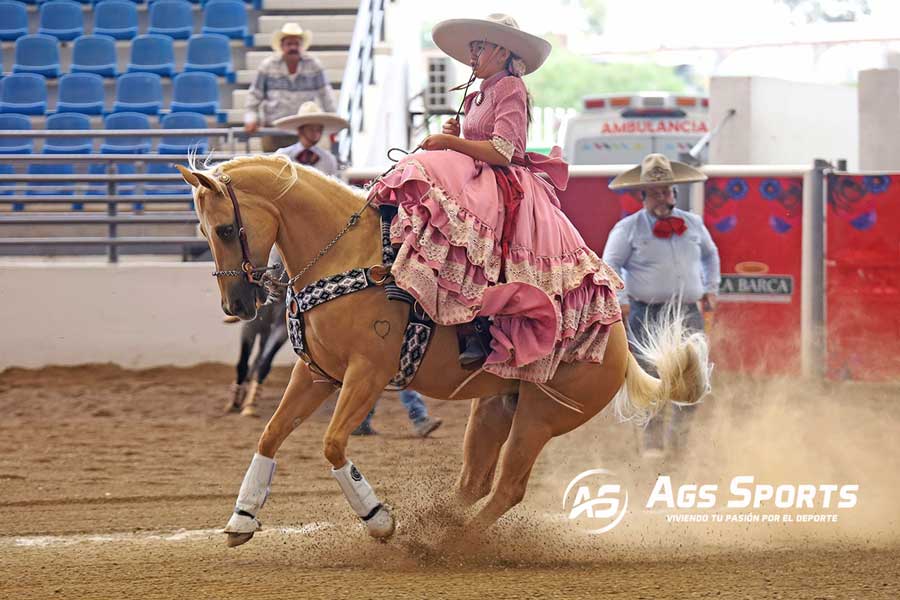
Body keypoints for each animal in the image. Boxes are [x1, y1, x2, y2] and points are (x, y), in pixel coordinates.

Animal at [176, 156, 712, 548]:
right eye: (204, 232)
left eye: (225, 229)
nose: (237, 304)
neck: (347, 258)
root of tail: (616, 341)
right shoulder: (316, 375)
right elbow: (270, 435)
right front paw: (242, 518)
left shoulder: (367, 374)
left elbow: (332, 443)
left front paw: (379, 518)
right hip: (496, 407)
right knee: (474, 484)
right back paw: (437, 529)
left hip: (541, 418)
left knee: (508, 488)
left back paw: (449, 545)